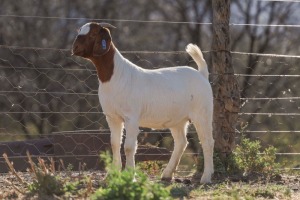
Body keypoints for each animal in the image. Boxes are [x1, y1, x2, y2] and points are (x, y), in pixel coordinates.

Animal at [72, 21, 214, 183]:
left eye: (93, 34)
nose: (75, 48)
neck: (115, 75)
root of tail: (202, 74)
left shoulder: (131, 117)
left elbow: (129, 147)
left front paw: (129, 175)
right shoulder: (112, 117)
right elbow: (114, 144)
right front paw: (111, 175)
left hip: (202, 112)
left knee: (207, 142)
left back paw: (206, 177)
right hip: (178, 119)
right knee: (181, 142)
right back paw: (167, 174)